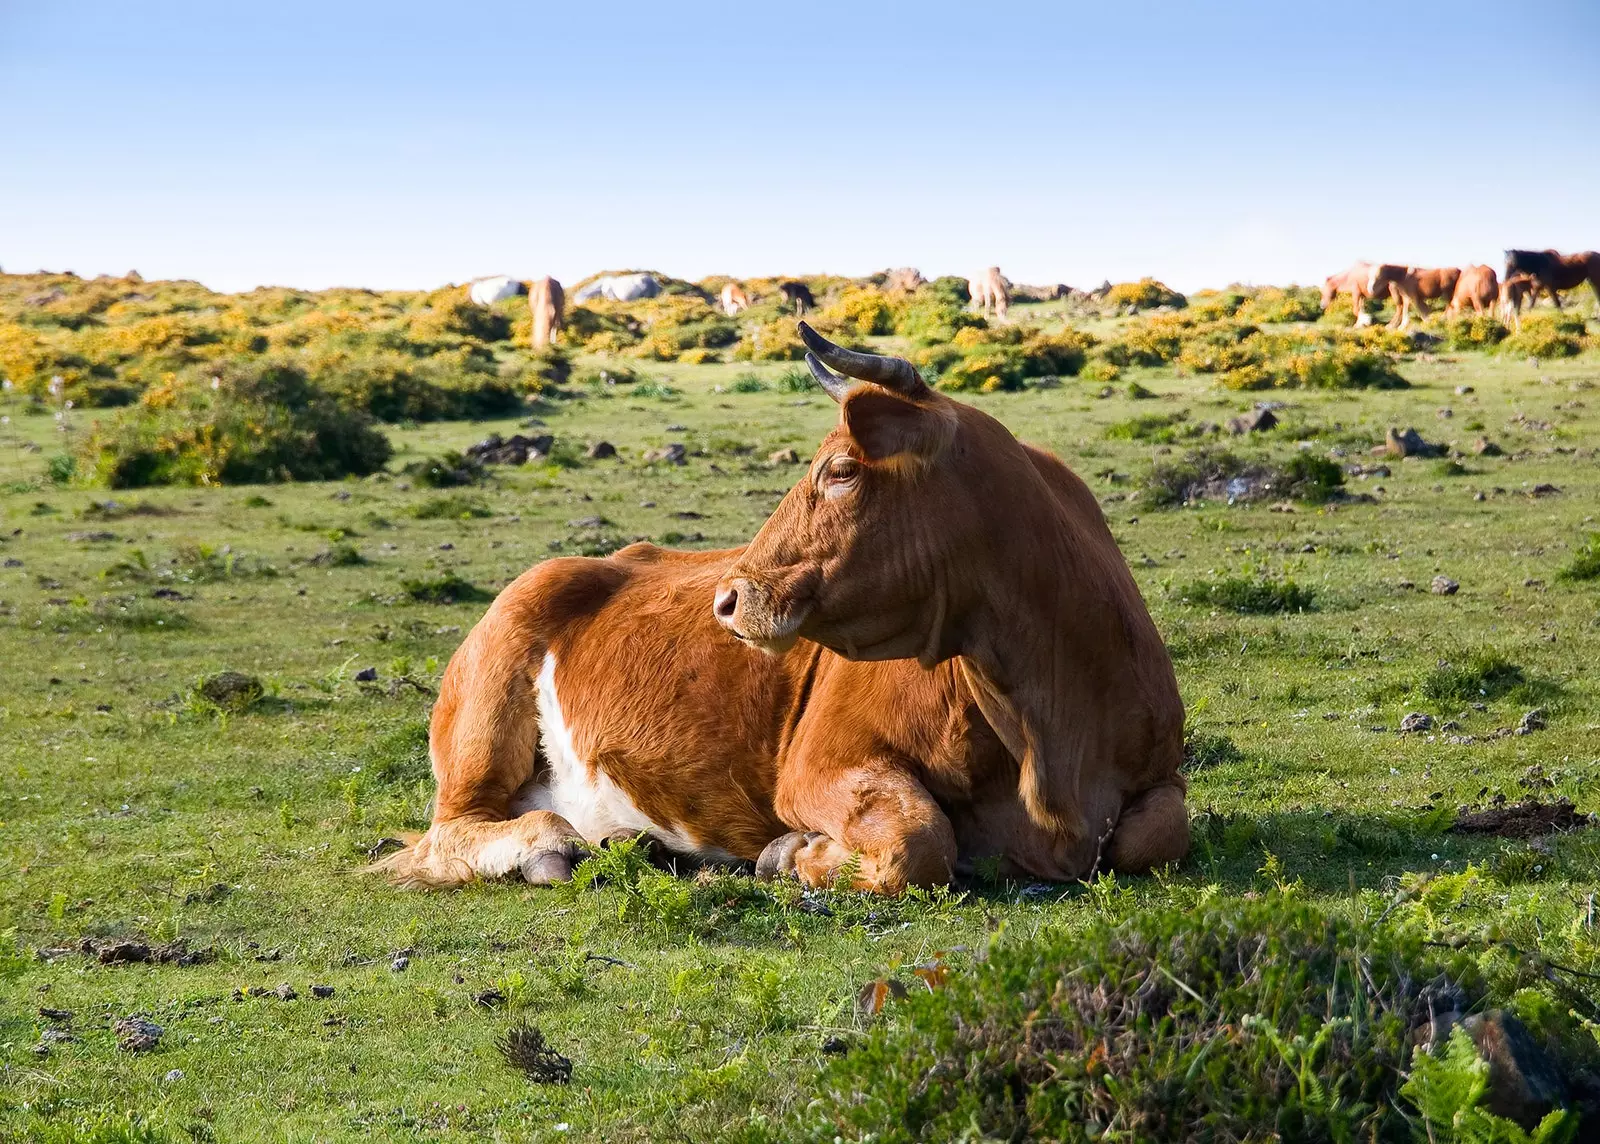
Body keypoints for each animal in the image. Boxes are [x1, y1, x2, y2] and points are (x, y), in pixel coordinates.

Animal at [374, 320, 1190, 896]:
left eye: (842, 469)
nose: (729, 598)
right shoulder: (816, 766)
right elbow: (919, 842)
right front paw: (791, 853)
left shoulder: (1160, 771)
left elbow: (1157, 835)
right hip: (486, 717)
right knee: (452, 832)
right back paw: (552, 844)